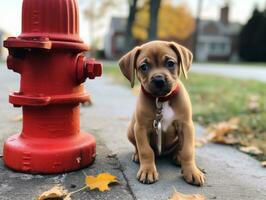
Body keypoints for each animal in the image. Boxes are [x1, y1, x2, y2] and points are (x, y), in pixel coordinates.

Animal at [119, 40, 205, 186]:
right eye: (144, 67)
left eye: (170, 63)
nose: (159, 80)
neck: (161, 100)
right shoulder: (141, 128)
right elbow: (146, 151)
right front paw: (147, 170)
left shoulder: (186, 125)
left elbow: (188, 151)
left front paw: (192, 171)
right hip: (131, 129)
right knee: (138, 147)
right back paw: (137, 156)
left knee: (179, 147)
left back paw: (177, 156)